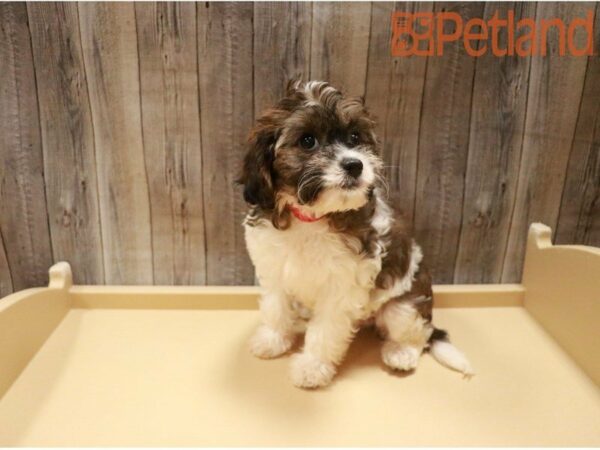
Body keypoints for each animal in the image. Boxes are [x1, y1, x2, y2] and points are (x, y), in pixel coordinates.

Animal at [239, 80, 474, 386]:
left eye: (354, 137)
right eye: (307, 141)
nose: (355, 164)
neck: (313, 218)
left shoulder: (341, 289)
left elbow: (325, 330)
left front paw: (312, 367)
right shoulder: (274, 269)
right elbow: (275, 307)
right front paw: (273, 339)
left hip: (405, 305)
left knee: (416, 331)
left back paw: (401, 353)